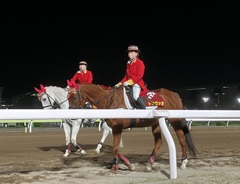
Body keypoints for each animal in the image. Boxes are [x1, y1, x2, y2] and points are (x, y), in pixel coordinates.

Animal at [66, 80, 197, 172]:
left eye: (74, 97)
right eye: (67, 98)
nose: (71, 116)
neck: (110, 100)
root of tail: (174, 94)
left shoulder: (117, 128)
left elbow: (115, 147)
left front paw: (114, 168)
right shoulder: (114, 128)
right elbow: (116, 148)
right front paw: (128, 165)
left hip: (175, 121)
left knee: (182, 140)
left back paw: (184, 162)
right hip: (156, 123)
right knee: (158, 142)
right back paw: (149, 164)